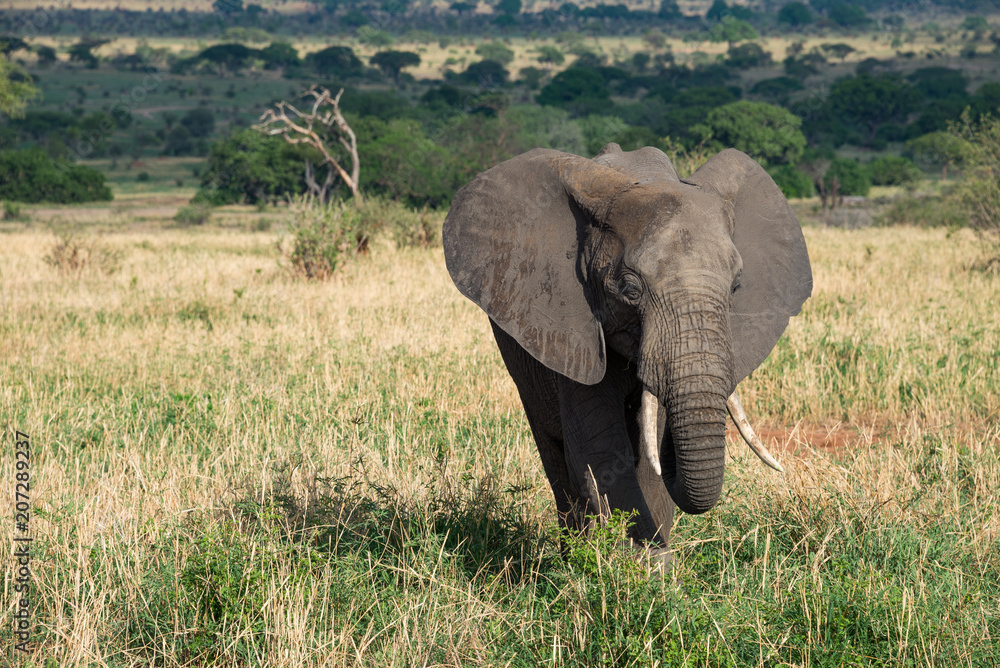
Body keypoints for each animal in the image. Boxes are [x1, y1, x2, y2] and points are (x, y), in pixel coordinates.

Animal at [442, 143, 812, 563]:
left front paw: (653, 566)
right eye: (630, 290)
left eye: (735, 287)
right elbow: (599, 446)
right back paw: (574, 555)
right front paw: (627, 565)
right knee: (554, 451)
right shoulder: (572, 323)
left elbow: (651, 446)